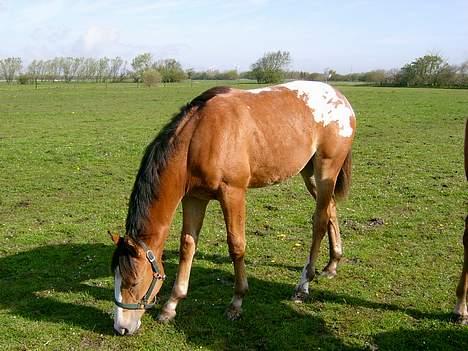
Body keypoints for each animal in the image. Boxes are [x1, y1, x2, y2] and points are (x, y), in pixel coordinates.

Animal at [110, 80, 354, 336]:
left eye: (134, 281)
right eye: (114, 276)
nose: (121, 327)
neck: (199, 137)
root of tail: (341, 99)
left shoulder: (233, 193)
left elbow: (236, 245)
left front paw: (236, 303)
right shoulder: (194, 198)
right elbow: (187, 246)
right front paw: (171, 306)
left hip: (326, 170)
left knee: (319, 222)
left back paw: (303, 284)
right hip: (311, 174)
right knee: (330, 211)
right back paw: (332, 264)